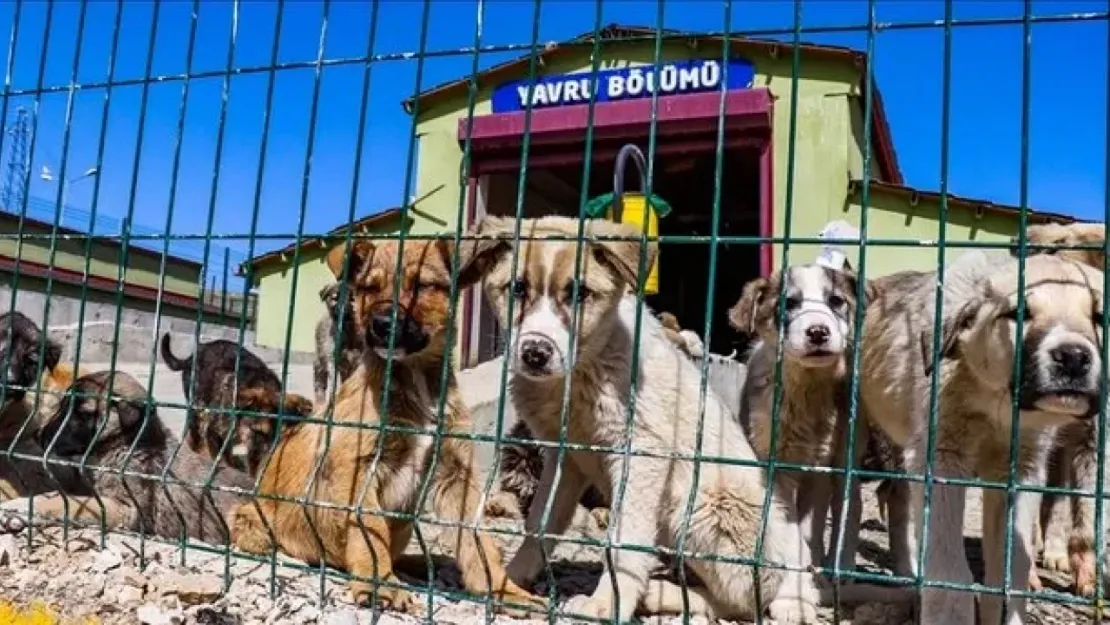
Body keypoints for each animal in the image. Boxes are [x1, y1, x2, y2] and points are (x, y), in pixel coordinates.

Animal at [233, 236, 546, 617]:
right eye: (368, 288)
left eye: (423, 285)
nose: (383, 324)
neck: (414, 379)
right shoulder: (357, 468)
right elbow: (370, 530)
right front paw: (379, 584)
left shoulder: (457, 477)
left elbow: (479, 542)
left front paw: (505, 591)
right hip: (250, 516)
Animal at [732, 264, 914, 581]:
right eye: (789, 303)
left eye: (836, 301)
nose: (818, 331)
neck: (808, 387)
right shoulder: (771, 458)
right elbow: (785, 518)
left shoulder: (819, 465)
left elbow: (812, 526)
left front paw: (812, 561)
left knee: (874, 502)